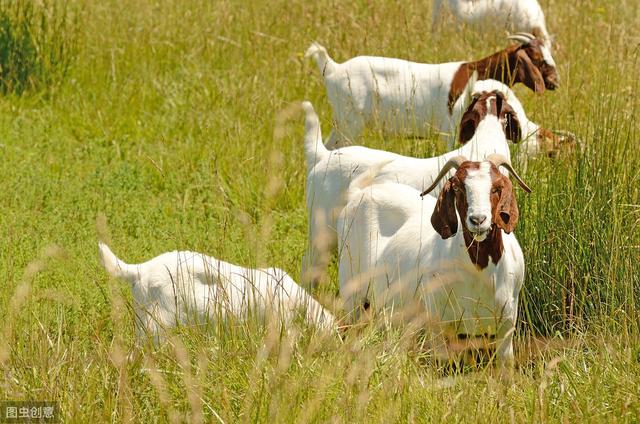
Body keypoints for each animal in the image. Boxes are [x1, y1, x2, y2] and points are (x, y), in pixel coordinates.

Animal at [304, 31, 556, 147]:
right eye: (536, 57)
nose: (554, 81)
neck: (474, 72)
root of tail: (333, 68)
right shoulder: (450, 130)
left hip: (342, 122)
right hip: (351, 121)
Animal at [338, 154, 532, 366]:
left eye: (497, 187)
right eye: (457, 187)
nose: (478, 220)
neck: (479, 276)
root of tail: (359, 193)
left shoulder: (506, 326)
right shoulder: (438, 324)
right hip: (351, 293)